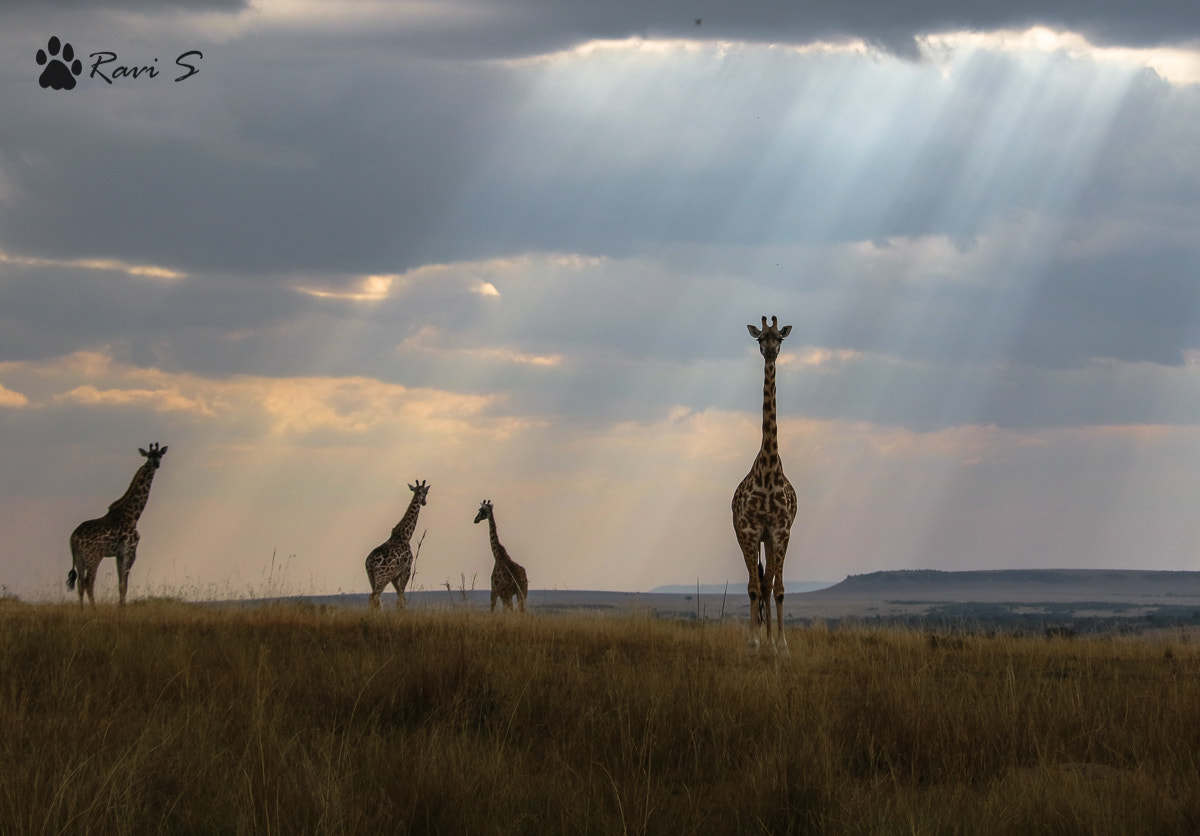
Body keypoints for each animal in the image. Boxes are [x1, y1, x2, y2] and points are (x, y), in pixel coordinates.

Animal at [67, 442, 168, 608]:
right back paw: (94, 610)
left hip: (79, 558)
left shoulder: (119, 554)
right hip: (93, 556)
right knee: (89, 582)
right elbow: (124, 585)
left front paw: (121, 608)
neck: (133, 515)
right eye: (149, 456)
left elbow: (121, 583)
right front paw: (122, 610)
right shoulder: (130, 551)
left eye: (160, 455)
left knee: (80, 583)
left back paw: (82, 610)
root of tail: (73, 538)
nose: (156, 464)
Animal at [365, 480, 429, 609]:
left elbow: (400, 596)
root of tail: (370, 563)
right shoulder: (406, 570)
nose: (424, 502)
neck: (405, 535)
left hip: (372, 577)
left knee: (374, 597)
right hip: (383, 577)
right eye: (426, 493)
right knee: (375, 596)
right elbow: (401, 597)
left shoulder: (395, 576)